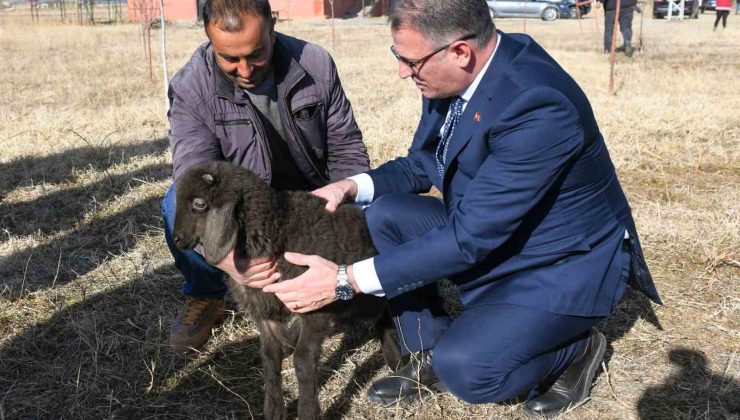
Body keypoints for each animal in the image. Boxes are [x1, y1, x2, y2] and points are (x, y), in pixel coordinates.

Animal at [171, 161, 402, 420]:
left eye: (200, 204)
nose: (177, 239)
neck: (277, 230)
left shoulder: (315, 306)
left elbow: (303, 359)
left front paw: (308, 410)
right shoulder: (266, 312)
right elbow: (270, 358)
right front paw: (274, 409)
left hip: (362, 300)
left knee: (383, 311)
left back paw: (394, 357)